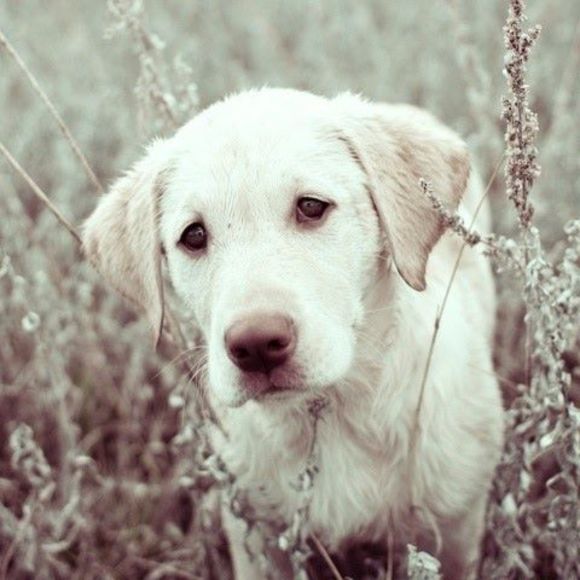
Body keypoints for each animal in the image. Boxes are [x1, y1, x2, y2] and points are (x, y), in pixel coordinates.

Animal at [83, 88, 504, 579]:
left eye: (311, 207)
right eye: (193, 235)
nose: (255, 345)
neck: (332, 414)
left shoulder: (455, 530)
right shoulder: (257, 538)